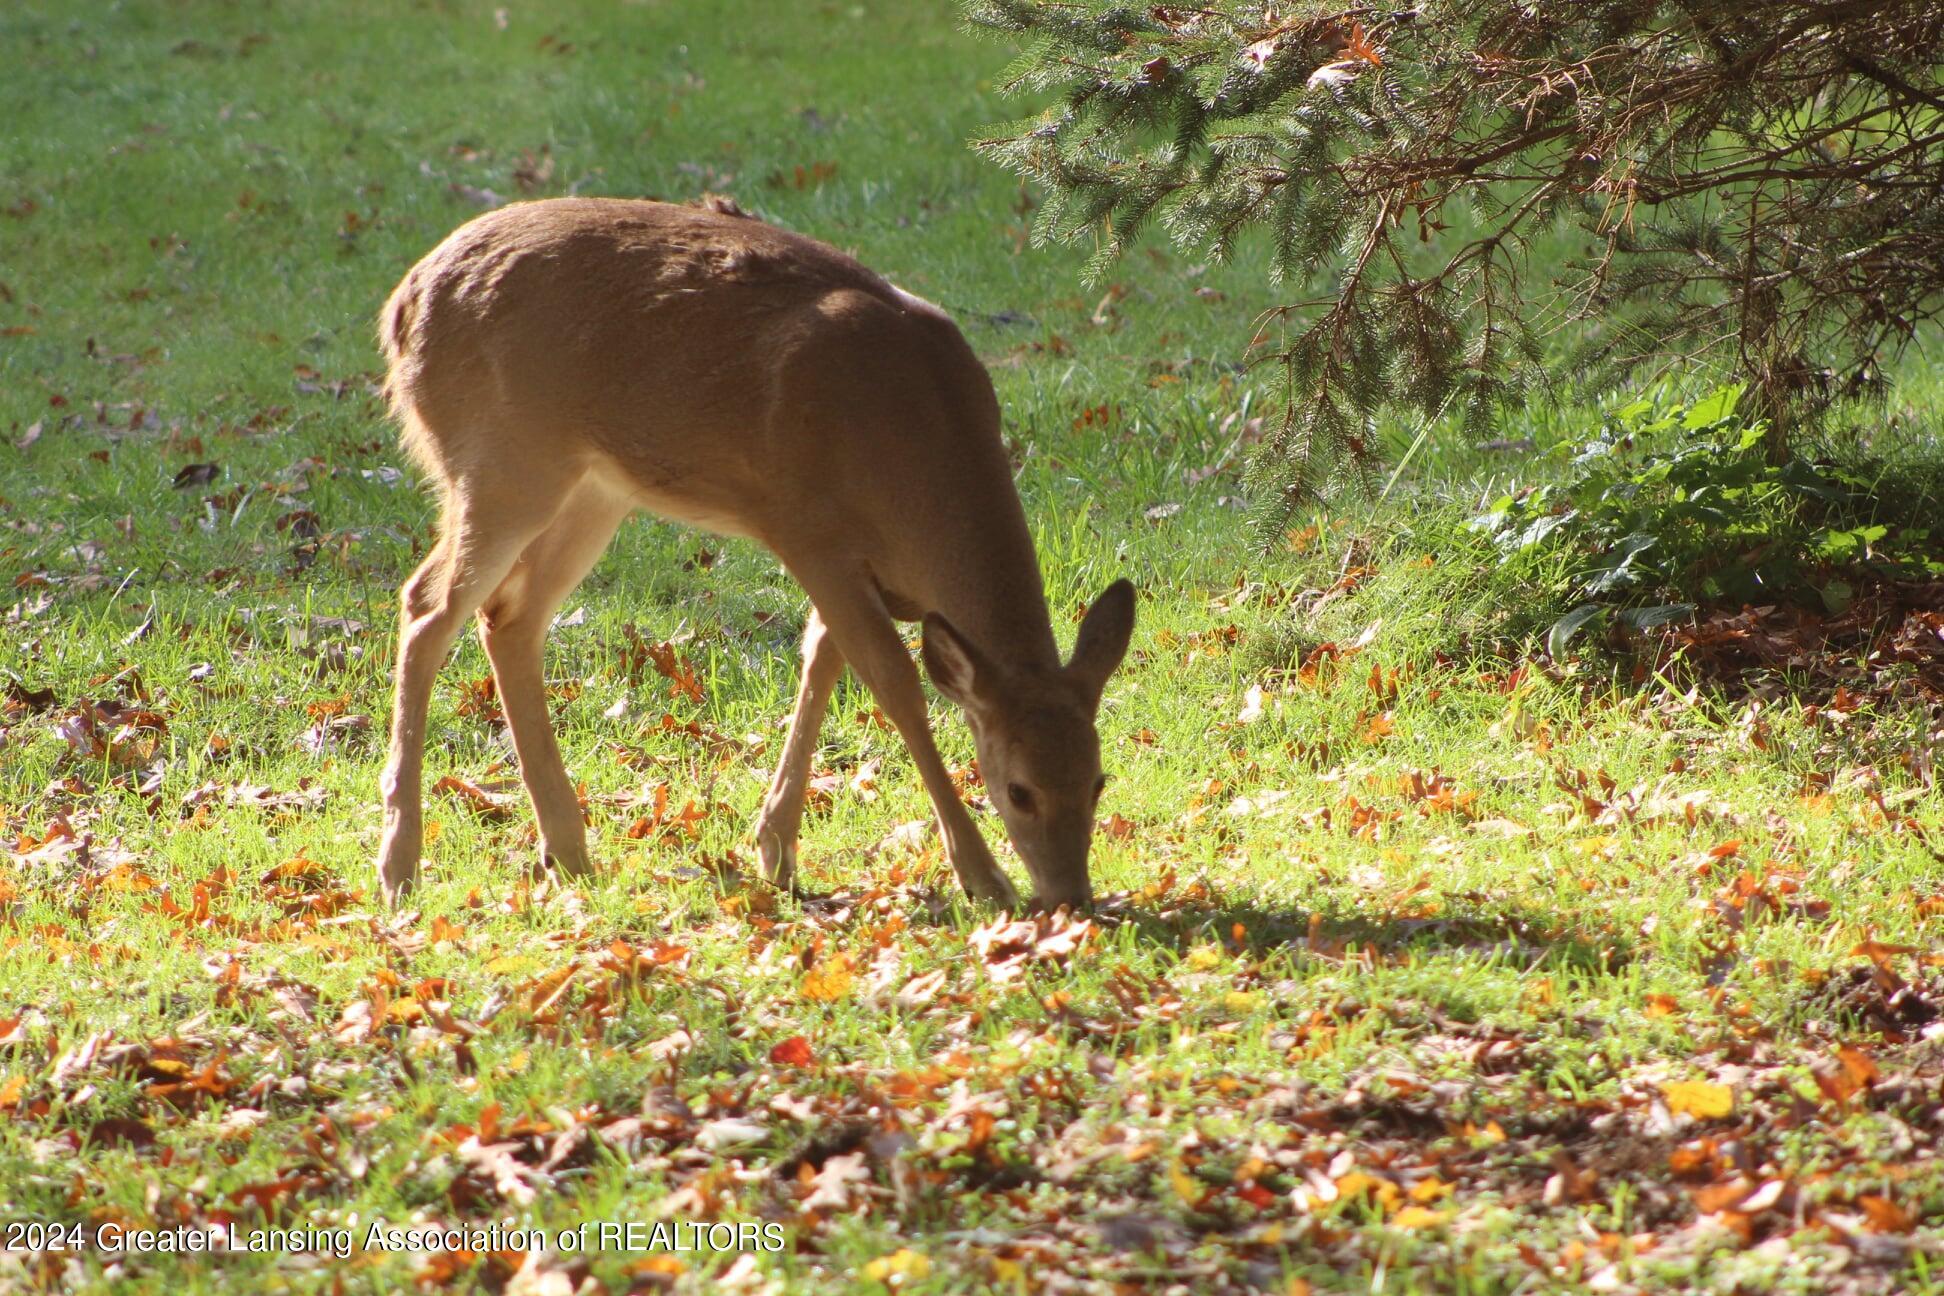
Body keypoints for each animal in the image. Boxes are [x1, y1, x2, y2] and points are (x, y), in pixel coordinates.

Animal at [373, 196, 1136, 913]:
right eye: (1018, 790)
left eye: (1099, 780)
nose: (1071, 895)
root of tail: (400, 306)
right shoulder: (805, 526)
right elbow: (894, 683)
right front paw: (984, 877)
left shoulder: (852, 566)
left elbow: (821, 662)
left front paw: (775, 850)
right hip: (501, 461)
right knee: (427, 605)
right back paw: (400, 864)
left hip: (594, 489)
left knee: (510, 618)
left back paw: (567, 851)